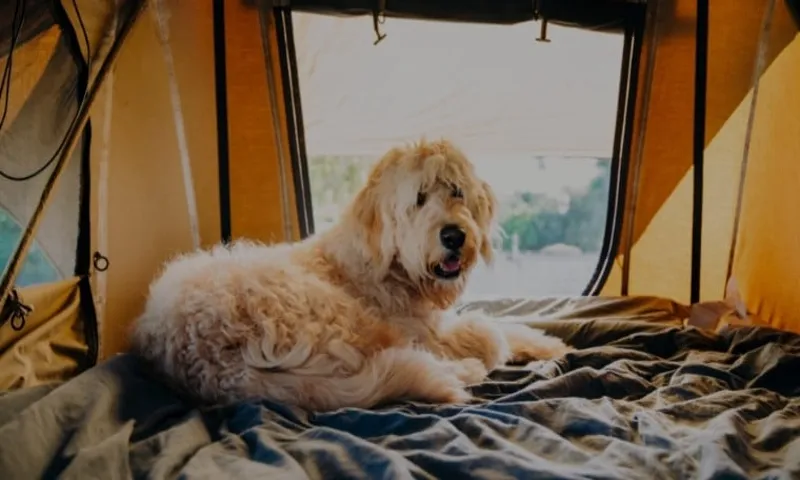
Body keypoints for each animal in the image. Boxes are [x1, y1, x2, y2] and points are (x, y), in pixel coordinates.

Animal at [131, 139, 572, 412]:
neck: (389, 267)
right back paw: (460, 373)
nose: (454, 235)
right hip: (339, 316)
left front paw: (548, 344)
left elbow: (508, 325)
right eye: (418, 199)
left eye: (456, 190)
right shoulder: (428, 332)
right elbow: (490, 332)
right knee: (406, 361)